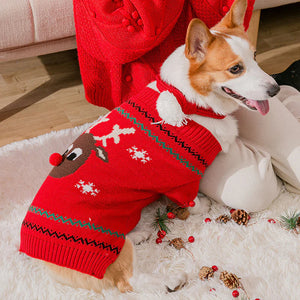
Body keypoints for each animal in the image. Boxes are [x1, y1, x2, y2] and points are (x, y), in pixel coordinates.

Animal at [37, 0, 278, 292]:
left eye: (255, 56)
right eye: (235, 69)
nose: (276, 89)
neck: (189, 100)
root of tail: (37, 254)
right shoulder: (183, 177)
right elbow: (191, 200)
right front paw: (202, 207)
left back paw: (138, 233)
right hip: (102, 245)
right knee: (128, 281)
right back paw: (171, 280)